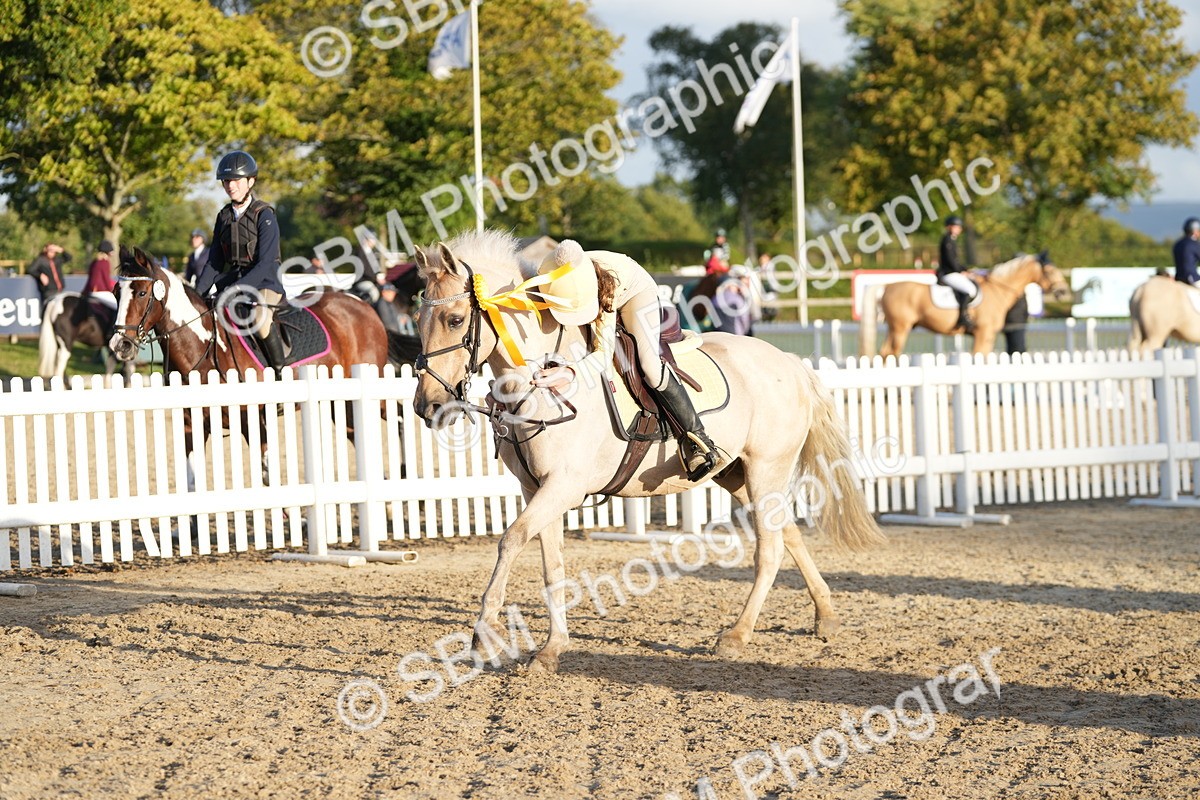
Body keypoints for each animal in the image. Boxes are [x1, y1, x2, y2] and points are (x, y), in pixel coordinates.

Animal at [411, 230, 885, 674]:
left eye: (455, 319)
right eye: (418, 319)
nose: (427, 406)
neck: (534, 385)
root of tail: (791, 362)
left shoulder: (563, 487)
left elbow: (510, 540)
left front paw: (483, 635)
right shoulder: (537, 490)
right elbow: (551, 565)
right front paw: (551, 649)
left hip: (767, 469)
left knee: (769, 549)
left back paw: (737, 635)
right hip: (737, 475)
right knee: (787, 533)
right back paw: (825, 616)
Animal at [859, 253, 1072, 358]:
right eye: (1050, 271)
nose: (1063, 291)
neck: (998, 290)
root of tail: (887, 286)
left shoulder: (988, 335)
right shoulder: (983, 332)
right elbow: (977, 356)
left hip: (895, 328)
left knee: (885, 353)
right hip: (900, 328)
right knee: (892, 353)